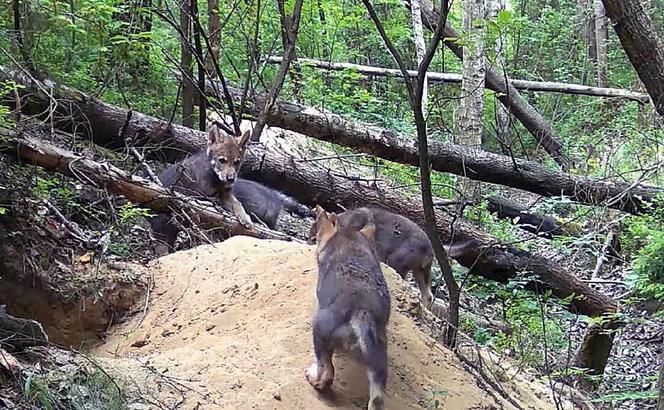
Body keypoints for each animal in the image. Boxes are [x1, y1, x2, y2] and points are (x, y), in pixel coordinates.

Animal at [306, 205, 390, 410]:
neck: (350, 238)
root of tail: (362, 312)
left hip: (319, 329)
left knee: (326, 373)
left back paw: (313, 376)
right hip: (379, 359)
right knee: (377, 398)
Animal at [308, 208, 480, 308]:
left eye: (314, 236)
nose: (308, 240)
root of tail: (431, 246)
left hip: (398, 263)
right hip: (421, 271)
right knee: (428, 295)